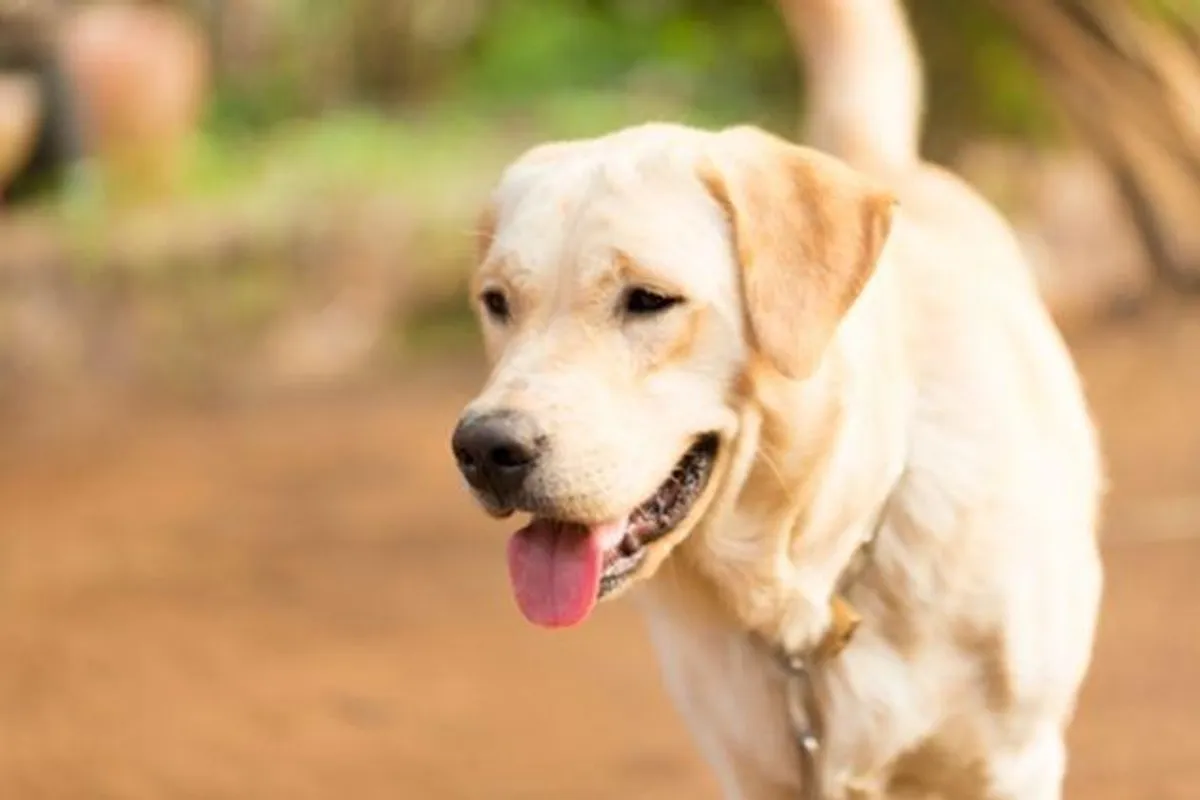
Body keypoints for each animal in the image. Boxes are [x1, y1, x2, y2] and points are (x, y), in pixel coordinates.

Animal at [451, 0, 1104, 796]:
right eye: (496, 303)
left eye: (649, 299)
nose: (485, 449)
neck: (811, 590)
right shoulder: (755, 771)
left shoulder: (1014, 759)